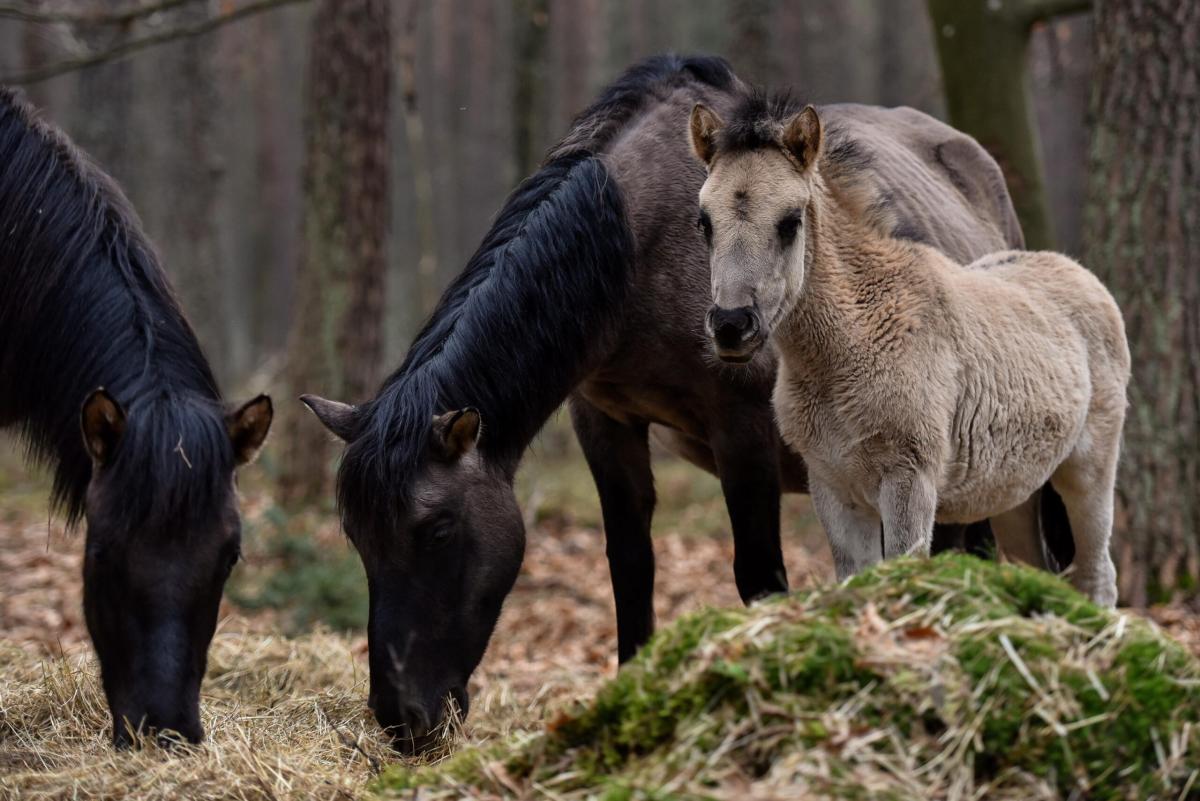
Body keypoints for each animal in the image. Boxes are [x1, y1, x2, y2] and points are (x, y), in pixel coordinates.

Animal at [300, 54, 1070, 753]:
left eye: (436, 530)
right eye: (357, 537)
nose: (403, 720)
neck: (642, 246)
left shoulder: (745, 432)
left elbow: (759, 578)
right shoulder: (605, 423)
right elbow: (630, 569)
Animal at [691, 97, 1128, 604]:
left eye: (790, 222)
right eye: (704, 222)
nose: (731, 326)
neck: (850, 343)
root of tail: (1079, 274)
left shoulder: (909, 481)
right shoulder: (834, 488)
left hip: (1088, 473)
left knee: (1097, 575)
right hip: (1017, 495)